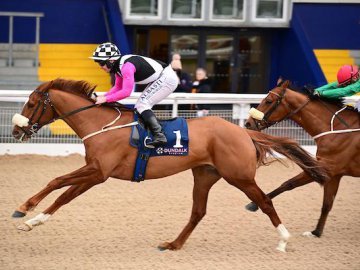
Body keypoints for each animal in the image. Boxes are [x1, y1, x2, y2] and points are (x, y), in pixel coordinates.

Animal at [11, 79, 328, 252]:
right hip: (205, 174)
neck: (100, 124)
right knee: (198, 211)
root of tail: (243, 131)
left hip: (239, 176)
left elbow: (56, 181)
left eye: (31, 104)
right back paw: (173, 244)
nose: (16, 131)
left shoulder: (98, 172)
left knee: (264, 201)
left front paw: (24, 208)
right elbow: (64, 195)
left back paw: (283, 240)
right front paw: (33, 221)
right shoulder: (96, 173)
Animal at [246, 79, 358, 237]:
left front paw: (254, 203)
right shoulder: (333, 174)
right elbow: (326, 203)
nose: (248, 123)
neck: (337, 129)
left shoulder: (326, 170)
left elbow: (289, 183)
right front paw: (316, 232)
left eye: (269, 101)